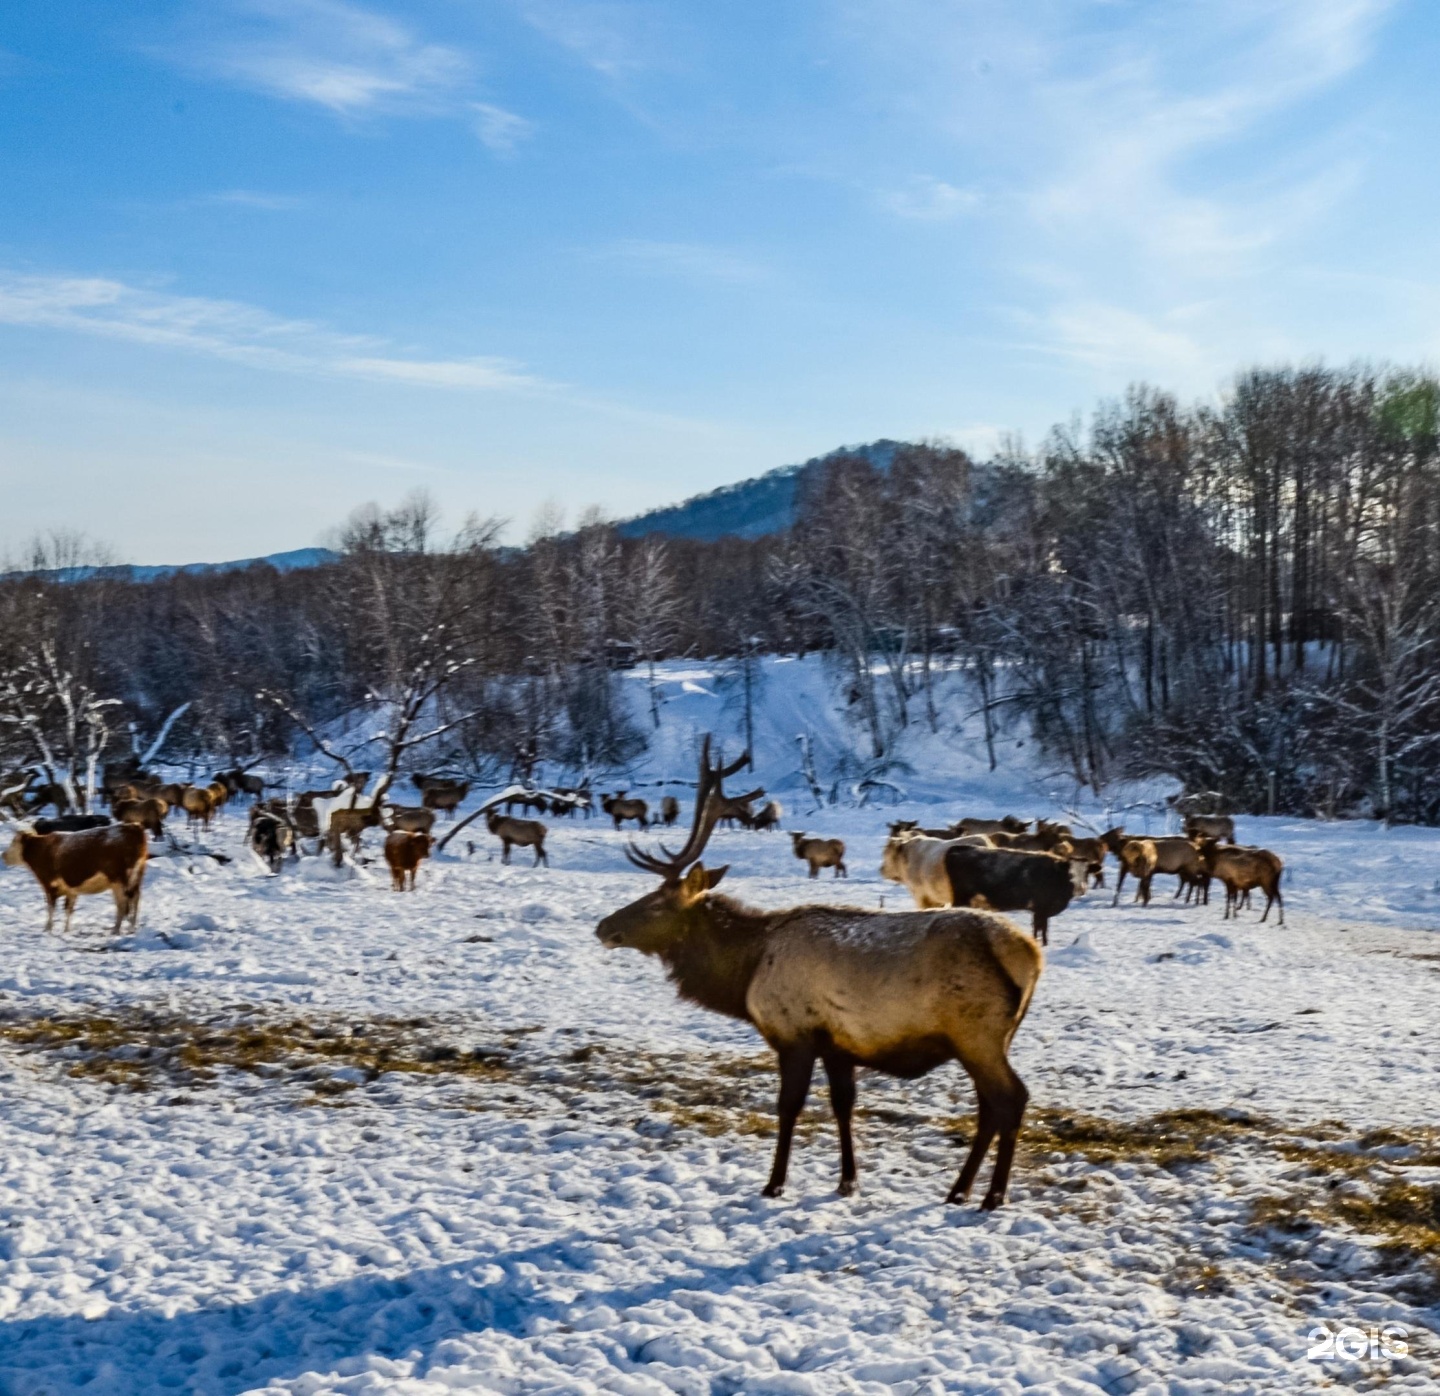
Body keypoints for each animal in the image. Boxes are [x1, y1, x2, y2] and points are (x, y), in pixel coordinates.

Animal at [596, 734, 1048, 1204]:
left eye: (656, 903)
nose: (604, 927)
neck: (745, 970)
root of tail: (1030, 955)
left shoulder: (794, 1032)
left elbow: (789, 1106)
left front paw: (774, 1183)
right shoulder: (838, 1044)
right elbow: (843, 1105)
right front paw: (848, 1179)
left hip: (976, 1033)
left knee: (1011, 1098)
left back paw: (992, 1196)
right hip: (991, 1038)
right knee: (990, 1105)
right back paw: (959, 1191)